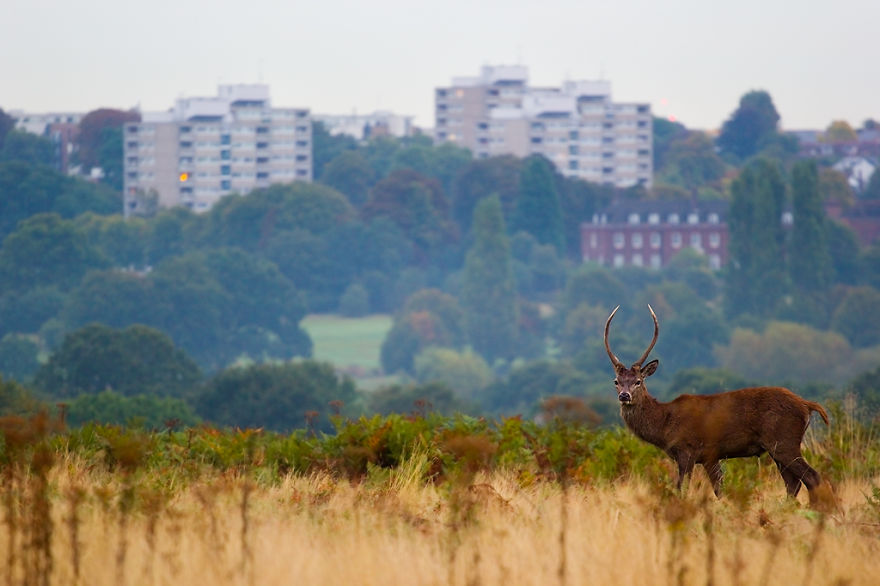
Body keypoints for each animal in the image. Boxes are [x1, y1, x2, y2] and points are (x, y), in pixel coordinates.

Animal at [604, 305, 832, 507]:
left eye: (638, 381)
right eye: (616, 381)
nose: (624, 395)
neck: (665, 424)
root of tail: (806, 405)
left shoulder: (688, 450)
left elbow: (682, 490)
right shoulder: (709, 456)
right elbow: (719, 490)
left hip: (784, 440)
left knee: (811, 477)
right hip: (778, 448)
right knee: (793, 484)